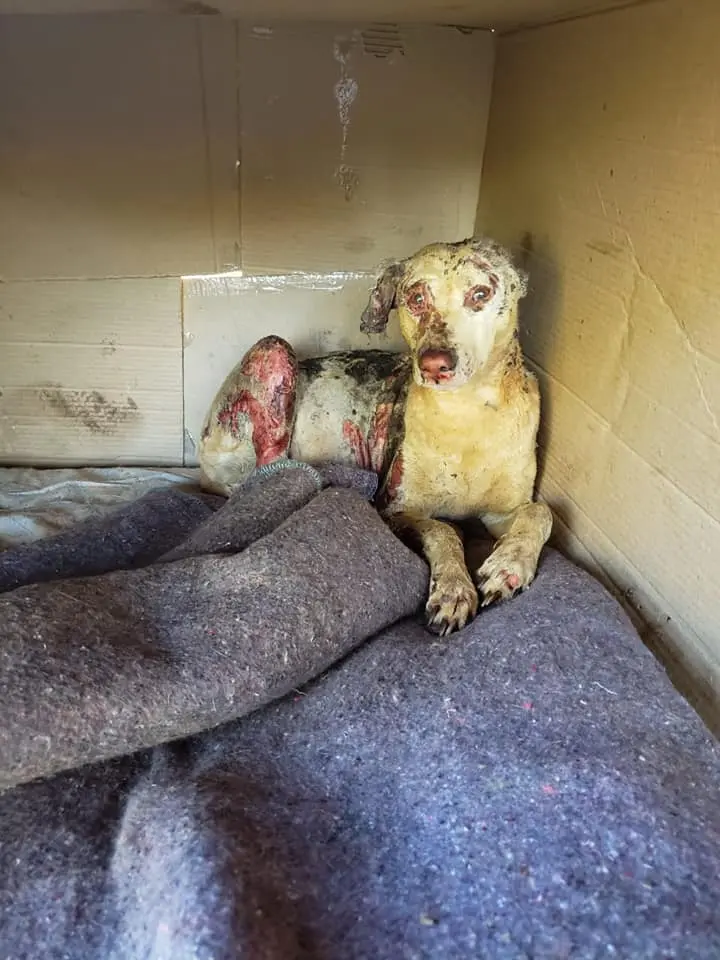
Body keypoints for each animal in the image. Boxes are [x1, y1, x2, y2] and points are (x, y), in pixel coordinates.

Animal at [198, 236, 552, 636]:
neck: (464, 417)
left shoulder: (504, 510)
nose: (434, 363)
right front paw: (453, 589)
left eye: (480, 293)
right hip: (273, 354)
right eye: (416, 298)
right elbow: (444, 531)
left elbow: (540, 512)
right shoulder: (396, 508)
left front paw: (508, 566)